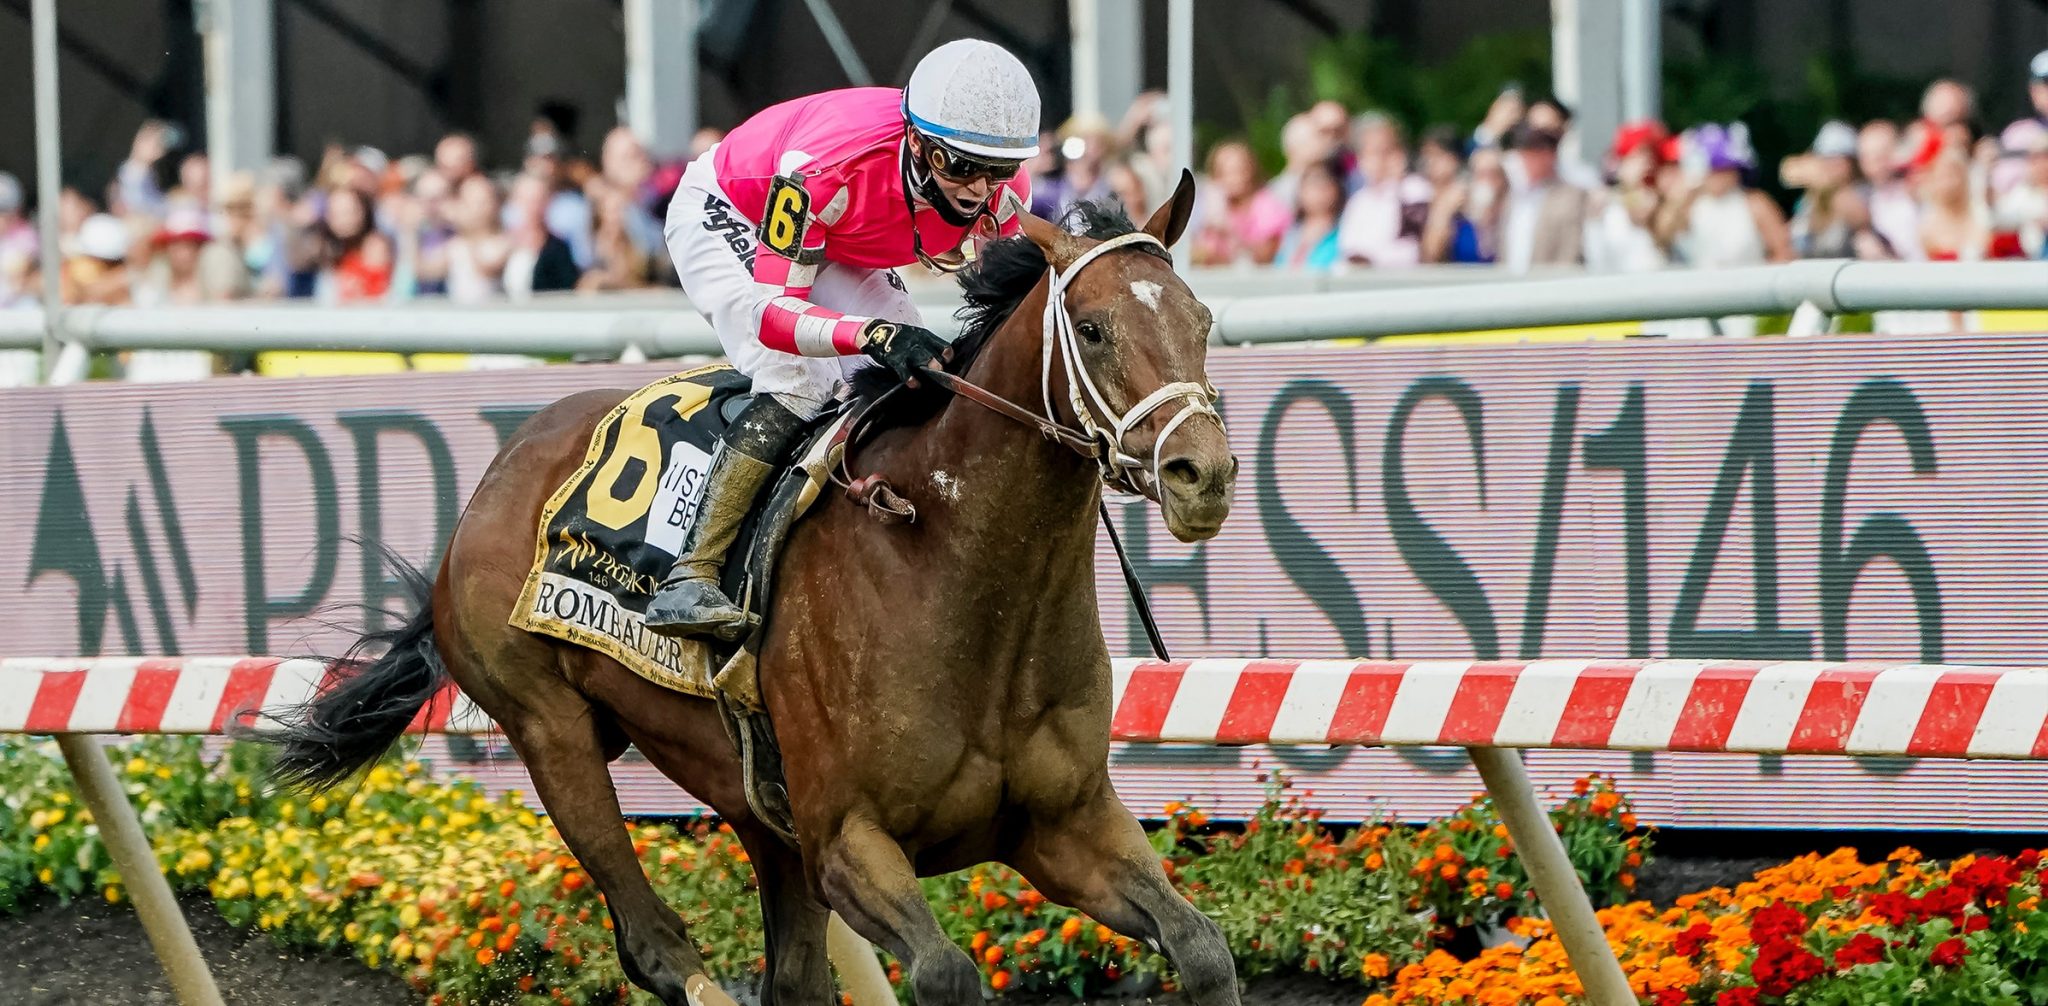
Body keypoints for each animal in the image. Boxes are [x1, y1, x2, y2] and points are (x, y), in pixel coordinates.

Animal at [264, 177, 1236, 1003]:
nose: (1205, 474)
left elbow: (1202, 948)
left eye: (1202, 318)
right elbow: (947, 973)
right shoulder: (849, 843)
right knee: (653, 943)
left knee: (791, 975)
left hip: (757, 811)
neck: (962, 580)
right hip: (551, 731)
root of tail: (496, 476)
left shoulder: (1064, 825)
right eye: (1095, 328)